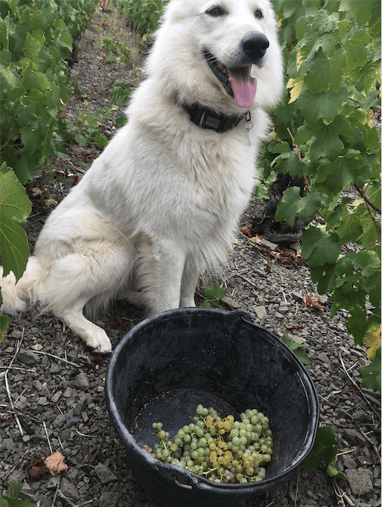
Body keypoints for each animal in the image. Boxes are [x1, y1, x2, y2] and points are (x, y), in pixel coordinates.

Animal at [0, 0, 282, 354]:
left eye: (259, 15)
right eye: (216, 11)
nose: (257, 44)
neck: (207, 122)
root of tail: (36, 261)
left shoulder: (196, 237)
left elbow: (186, 294)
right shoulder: (169, 242)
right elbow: (168, 304)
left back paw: (137, 298)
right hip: (117, 251)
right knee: (59, 302)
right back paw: (94, 333)